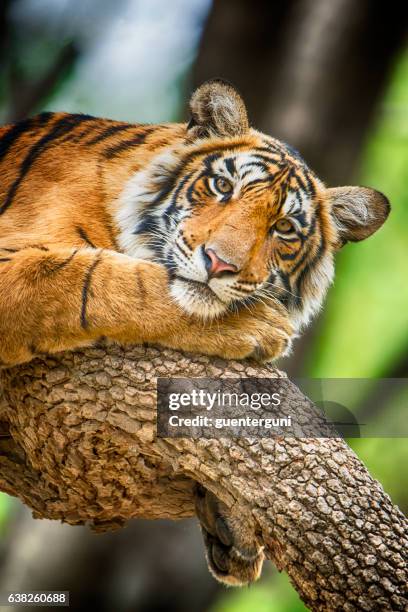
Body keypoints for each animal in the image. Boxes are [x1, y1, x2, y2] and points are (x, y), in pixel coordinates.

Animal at [0, 79, 390, 584]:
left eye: (284, 227)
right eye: (223, 187)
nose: (220, 263)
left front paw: (234, 528)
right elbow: (98, 278)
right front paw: (259, 325)